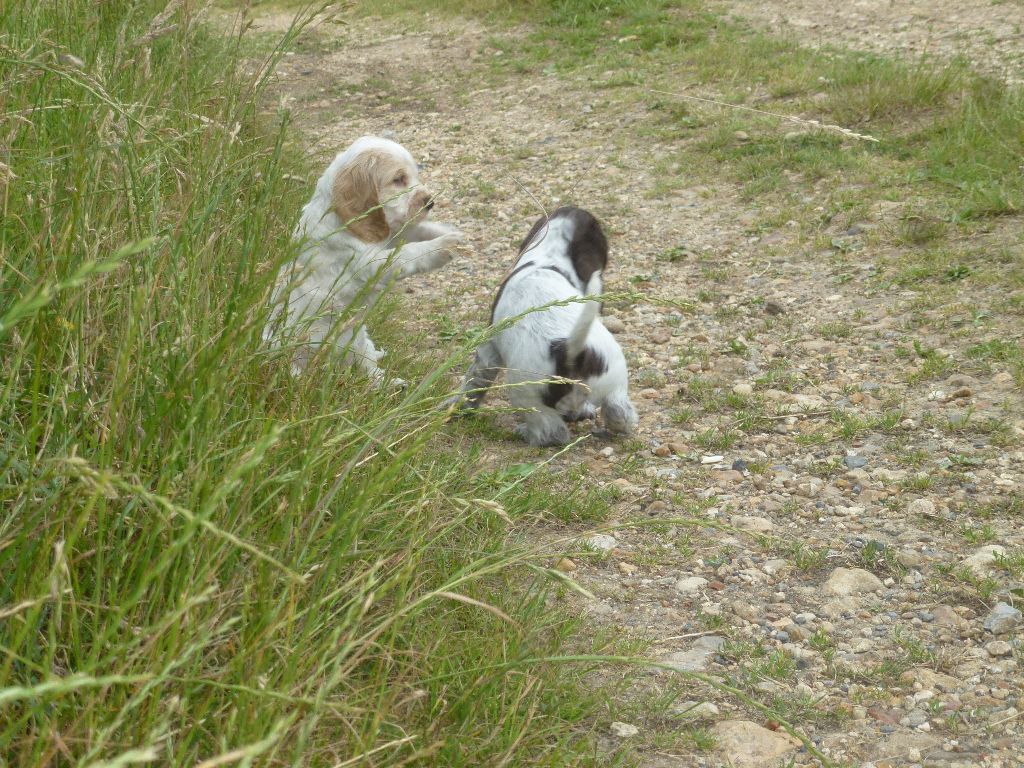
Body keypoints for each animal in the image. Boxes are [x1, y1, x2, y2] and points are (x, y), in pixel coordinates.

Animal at [264, 135, 460, 385]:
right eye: (398, 179)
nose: (429, 202)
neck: (340, 219)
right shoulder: (369, 263)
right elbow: (408, 253)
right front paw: (443, 245)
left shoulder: (391, 235)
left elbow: (415, 230)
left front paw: (449, 232)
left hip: (359, 341)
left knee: (370, 371)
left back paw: (394, 385)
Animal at [458, 205, 638, 444]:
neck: (547, 259)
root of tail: (571, 353)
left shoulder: (489, 348)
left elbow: (473, 383)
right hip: (615, 382)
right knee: (620, 413)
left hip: (527, 394)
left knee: (551, 432)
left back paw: (525, 433)